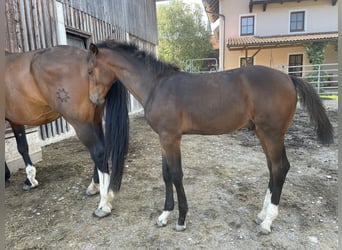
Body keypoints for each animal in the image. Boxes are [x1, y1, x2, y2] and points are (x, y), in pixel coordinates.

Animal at [4, 46, 129, 218]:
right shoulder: (15, 119)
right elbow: (23, 146)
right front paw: (29, 179)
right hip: (95, 119)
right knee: (102, 149)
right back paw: (94, 186)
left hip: (81, 123)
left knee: (98, 152)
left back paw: (104, 203)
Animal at [87, 40, 332, 233]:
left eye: (89, 71)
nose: (94, 101)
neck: (156, 85)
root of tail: (289, 78)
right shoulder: (163, 139)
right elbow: (166, 175)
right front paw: (165, 215)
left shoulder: (171, 138)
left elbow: (176, 175)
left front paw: (181, 219)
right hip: (264, 134)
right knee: (273, 167)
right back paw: (262, 214)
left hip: (272, 134)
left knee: (280, 167)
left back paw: (267, 222)